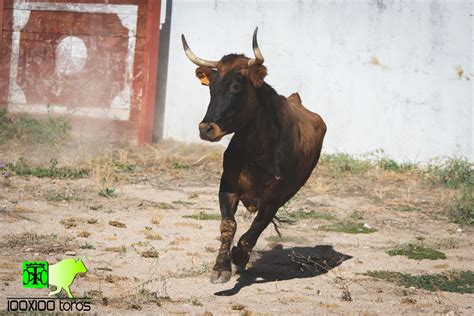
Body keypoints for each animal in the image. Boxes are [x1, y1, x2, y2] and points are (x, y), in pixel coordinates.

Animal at [181, 27, 326, 284]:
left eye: (236, 86)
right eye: (211, 87)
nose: (206, 129)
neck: (257, 154)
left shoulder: (275, 198)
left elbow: (255, 229)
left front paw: (239, 255)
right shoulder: (227, 186)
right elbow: (228, 224)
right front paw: (221, 267)